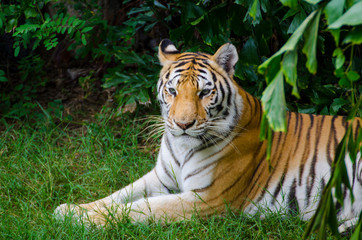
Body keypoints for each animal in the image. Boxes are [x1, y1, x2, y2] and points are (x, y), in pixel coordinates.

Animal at [54, 39, 362, 231]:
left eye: (204, 92)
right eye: (172, 90)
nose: (183, 124)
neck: (181, 148)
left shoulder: (205, 199)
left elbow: (141, 208)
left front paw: (79, 219)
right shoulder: (161, 177)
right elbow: (118, 195)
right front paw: (71, 209)